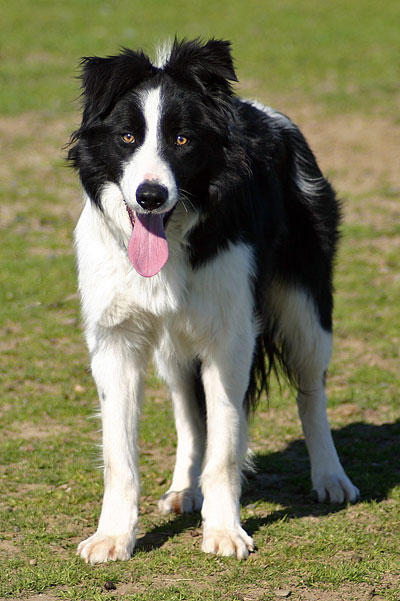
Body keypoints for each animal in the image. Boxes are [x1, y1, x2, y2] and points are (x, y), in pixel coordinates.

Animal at [69, 38, 360, 564]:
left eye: (183, 140)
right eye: (126, 137)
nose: (150, 195)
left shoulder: (232, 336)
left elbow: (225, 445)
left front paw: (224, 530)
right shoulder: (115, 340)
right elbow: (121, 455)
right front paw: (113, 536)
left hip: (307, 310)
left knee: (312, 391)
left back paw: (331, 478)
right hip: (175, 347)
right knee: (189, 416)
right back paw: (185, 489)